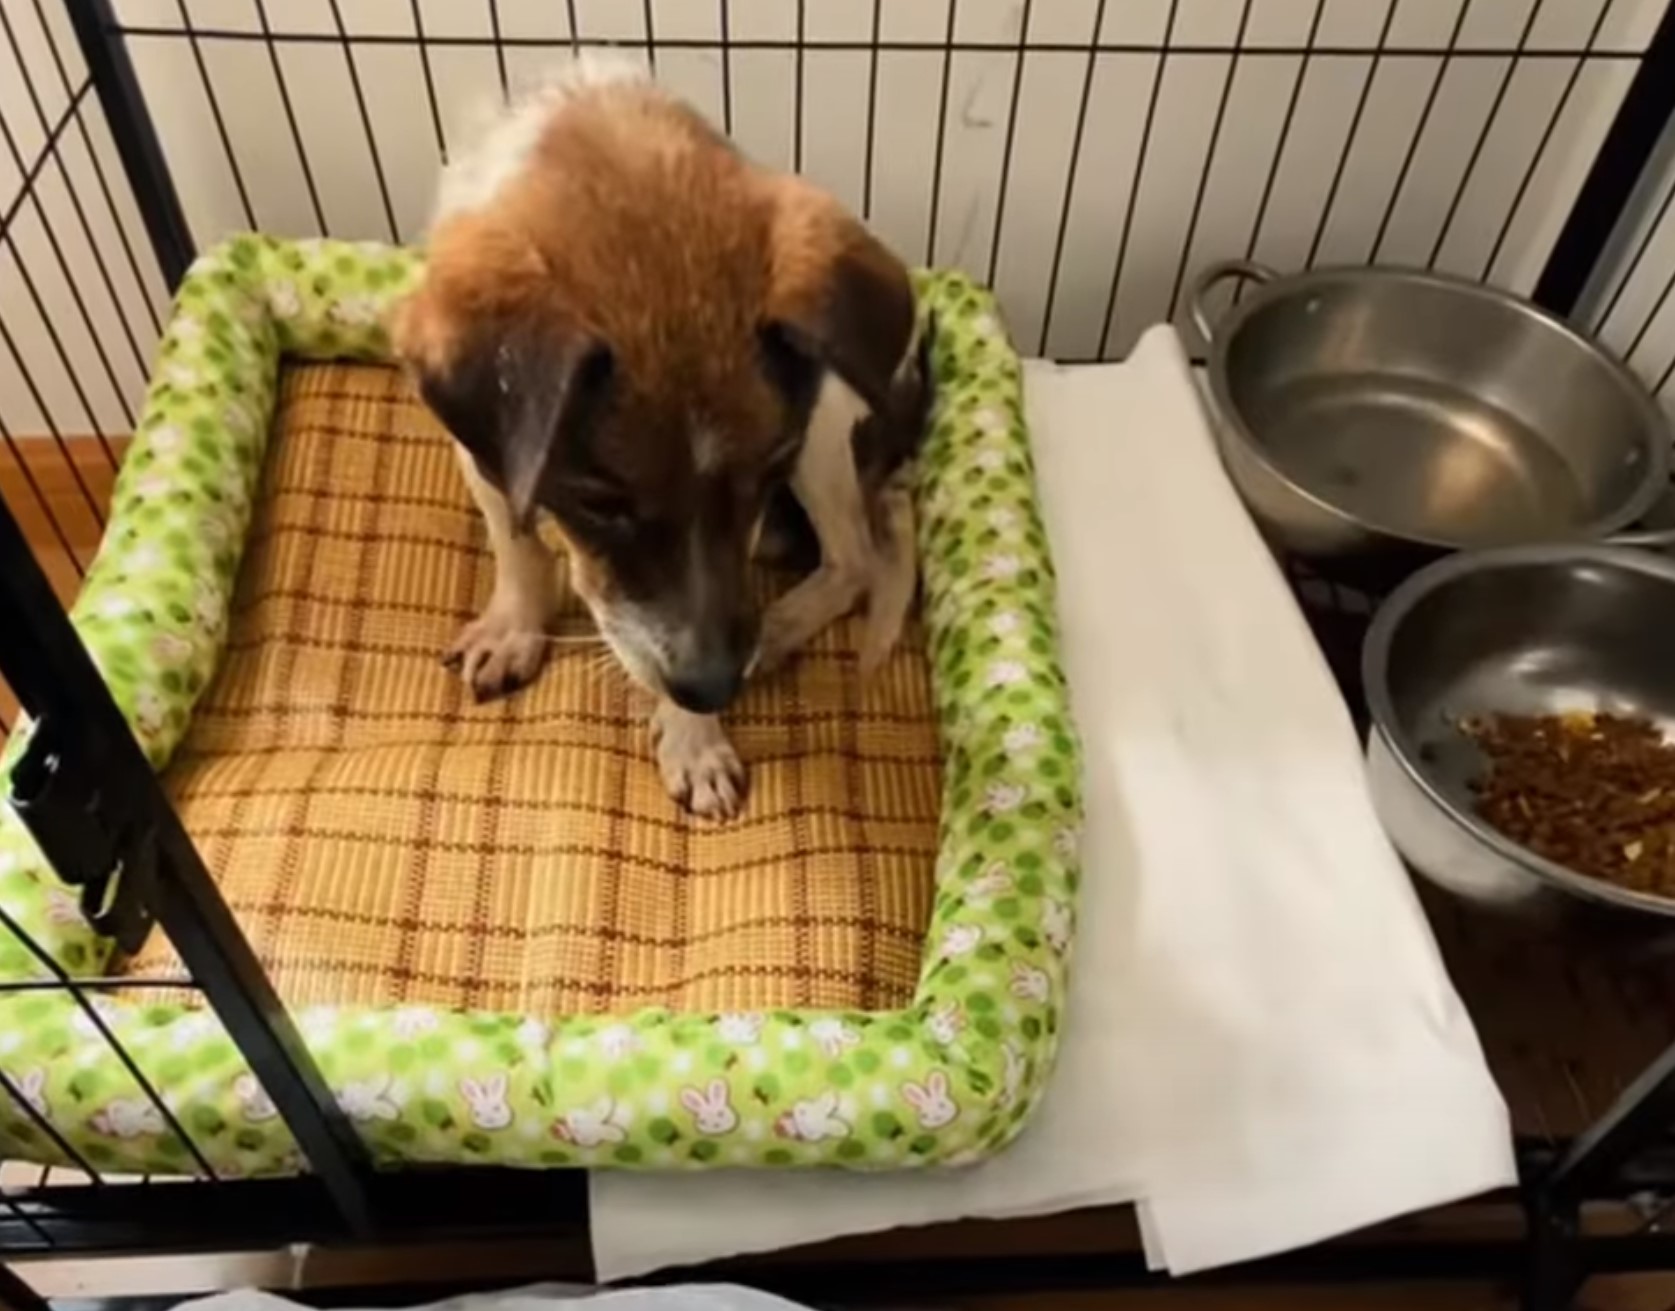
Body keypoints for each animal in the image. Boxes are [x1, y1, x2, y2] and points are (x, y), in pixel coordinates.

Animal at [398, 64, 938, 820]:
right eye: (600, 502)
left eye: (766, 472)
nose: (716, 690)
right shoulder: (483, 452)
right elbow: (518, 543)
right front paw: (514, 625)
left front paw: (693, 739)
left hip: (829, 423)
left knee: (854, 561)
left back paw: (777, 628)